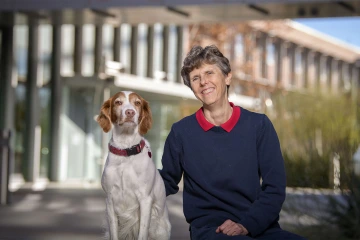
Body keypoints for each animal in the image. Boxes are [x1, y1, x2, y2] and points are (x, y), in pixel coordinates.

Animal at [97, 91, 172, 239]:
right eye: (118, 102)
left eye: (137, 103)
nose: (130, 112)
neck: (126, 151)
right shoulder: (110, 200)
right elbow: (114, 233)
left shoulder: (145, 199)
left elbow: (142, 233)